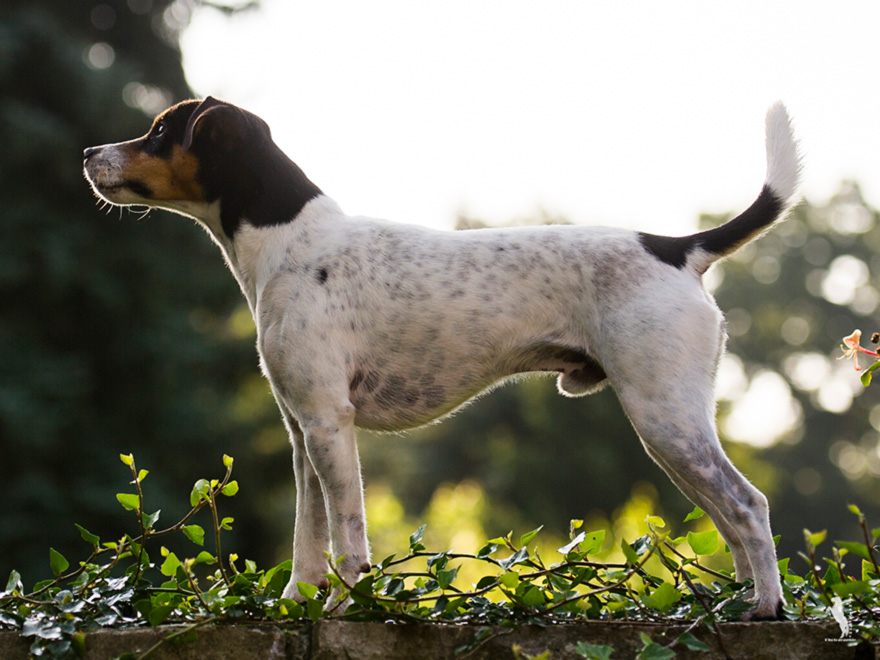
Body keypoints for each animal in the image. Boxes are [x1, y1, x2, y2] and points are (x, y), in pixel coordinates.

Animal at [86, 98, 800, 620]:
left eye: (159, 131)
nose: (90, 152)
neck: (290, 245)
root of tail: (677, 247)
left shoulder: (328, 424)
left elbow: (347, 538)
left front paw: (346, 607)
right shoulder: (300, 433)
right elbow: (307, 537)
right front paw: (295, 604)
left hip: (664, 419)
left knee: (749, 505)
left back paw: (765, 606)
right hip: (673, 428)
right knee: (730, 517)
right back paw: (733, 600)